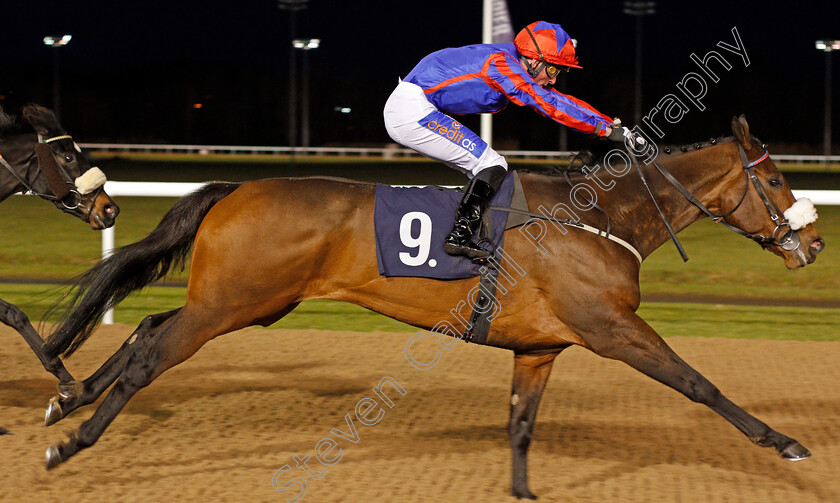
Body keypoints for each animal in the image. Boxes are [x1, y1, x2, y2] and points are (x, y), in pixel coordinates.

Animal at [39, 118, 820, 500]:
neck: (599, 216)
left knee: (146, 326)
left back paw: (68, 398)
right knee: (151, 355)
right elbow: (698, 383)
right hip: (232, 302)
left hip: (246, 302)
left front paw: (524, 493)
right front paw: (784, 441)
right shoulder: (613, 328)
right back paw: (71, 441)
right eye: (778, 178)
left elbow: (521, 425)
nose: (812, 242)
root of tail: (236, 188)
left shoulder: (540, 346)